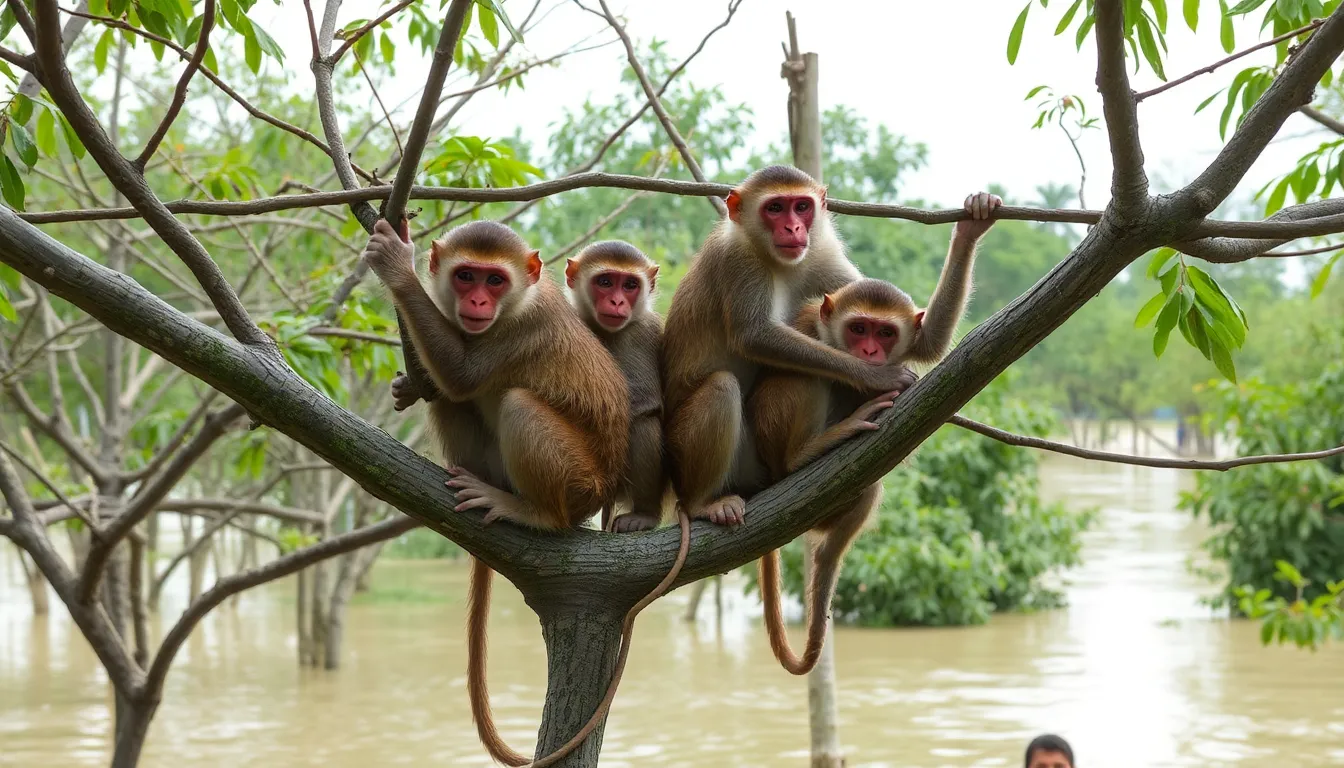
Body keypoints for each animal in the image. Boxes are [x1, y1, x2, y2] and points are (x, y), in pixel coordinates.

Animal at [564, 241, 668, 534]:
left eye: (630, 285)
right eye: (606, 282)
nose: (617, 301)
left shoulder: (642, 333)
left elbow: (644, 399)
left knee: (644, 425)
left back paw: (645, 514)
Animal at [661, 165, 918, 529]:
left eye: (802, 207)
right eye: (775, 208)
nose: (793, 228)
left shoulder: (822, 250)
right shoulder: (739, 260)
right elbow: (754, 335)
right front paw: (875, 377)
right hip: (687, 454)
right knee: (723, 386)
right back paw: (702, 503)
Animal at [748, 191, 1002, 676]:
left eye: (884, 332)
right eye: (858, 328)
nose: (868, 351)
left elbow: (929, 344)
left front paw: (971, 226)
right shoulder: (809, 324)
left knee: (867, 489)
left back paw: (827, 558)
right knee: (806, 378)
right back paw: (807, 454)